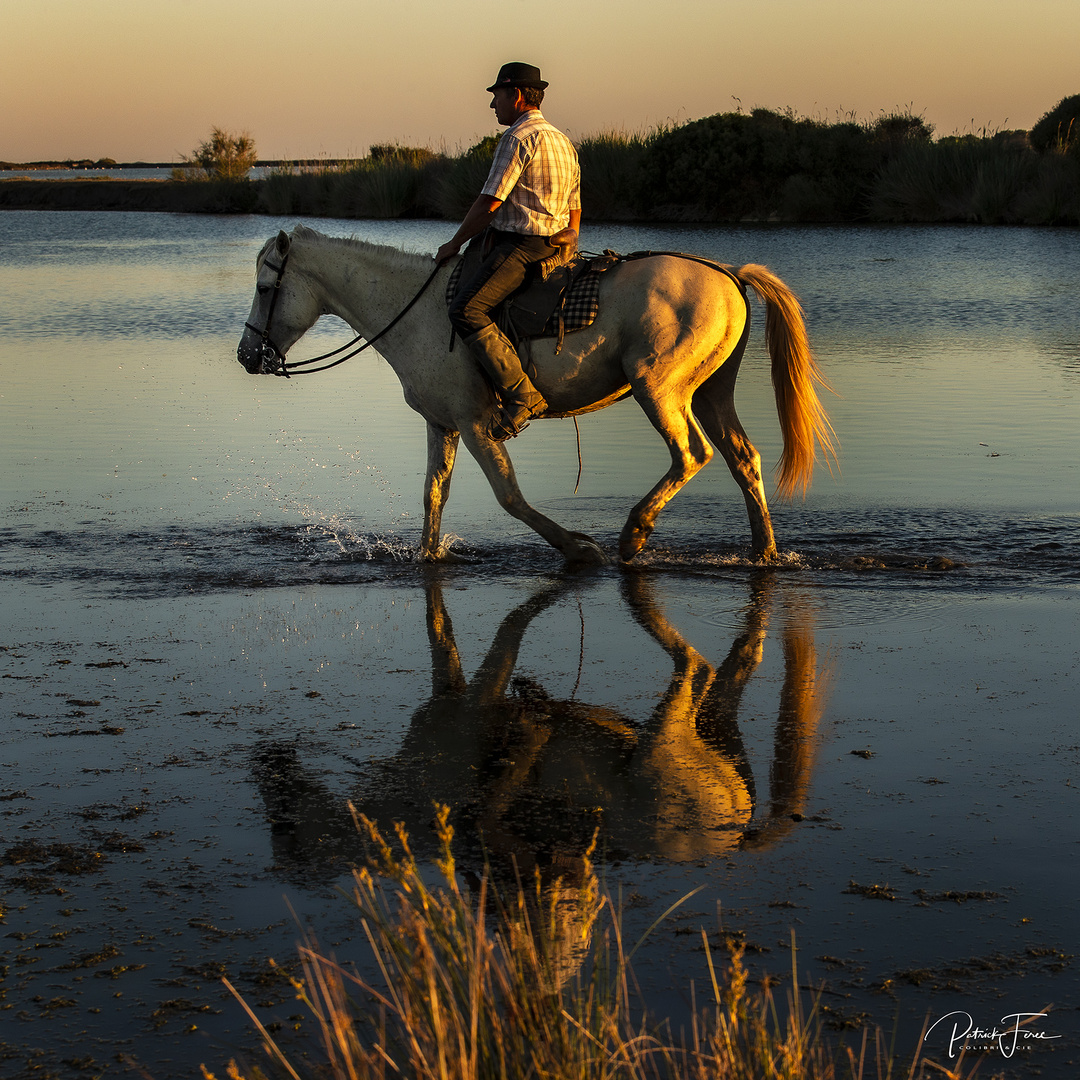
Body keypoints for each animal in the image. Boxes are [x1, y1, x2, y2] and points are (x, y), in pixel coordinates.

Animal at [238, 226, 833, 565]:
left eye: (266, 288)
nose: (247, 355)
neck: (416, 311)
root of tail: (729, 273)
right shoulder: (442, 423)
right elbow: (433, 495)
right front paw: (427, 557)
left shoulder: (475, 422)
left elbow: (510, 497)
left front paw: (578, 548)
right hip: (711, 392)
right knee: (743, 459)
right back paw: (764, 552)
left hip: (659, 388)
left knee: (691, 455)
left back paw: (633, 535)